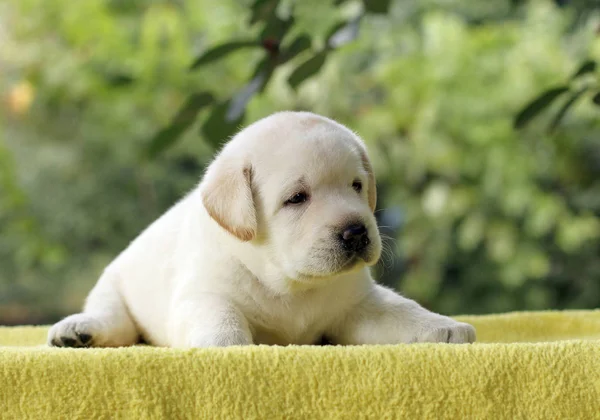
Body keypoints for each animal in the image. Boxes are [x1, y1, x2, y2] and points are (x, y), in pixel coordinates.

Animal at [49, 110, 476, 348]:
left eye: (356, 186)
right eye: (297, 198)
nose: (356, 232)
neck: (290, 285)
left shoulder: (359, 303)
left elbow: (403, 311)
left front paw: (447, 327)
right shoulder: (204, 295)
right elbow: (221, 321)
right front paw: (228, 348)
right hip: (112, 284)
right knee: (114, 320)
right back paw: (79, 330)